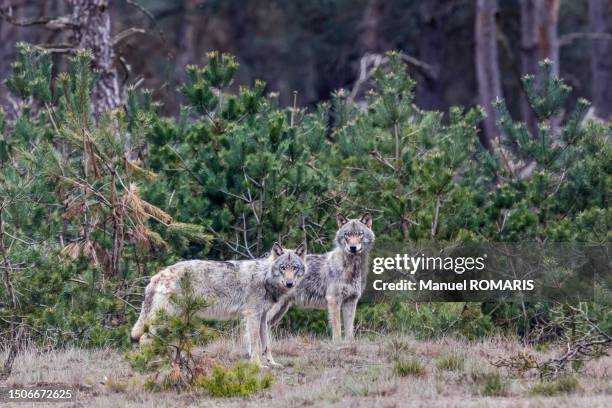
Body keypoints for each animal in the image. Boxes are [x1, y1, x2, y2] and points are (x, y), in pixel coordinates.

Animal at [131, 242, 308, 366]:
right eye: (283, 268)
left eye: (294, 268)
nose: (290, 283)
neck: (265, 277)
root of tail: (158, 275)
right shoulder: (252, 316)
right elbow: (255, 344)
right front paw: (257, 365)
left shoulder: (263, 317)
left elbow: (266, 344)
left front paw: (272, 363)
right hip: (166, 318)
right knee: (144, 338)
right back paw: (152, 363)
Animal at [268, 214, 372, 342]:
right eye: (347, 234)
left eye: (359, 234)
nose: (353, 247)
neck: (352, 268)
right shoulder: (334, 300)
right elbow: (337, 329)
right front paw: (337, 344)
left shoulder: (351, 301)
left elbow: (349, 331)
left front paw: (349, 344)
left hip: (280, 310)